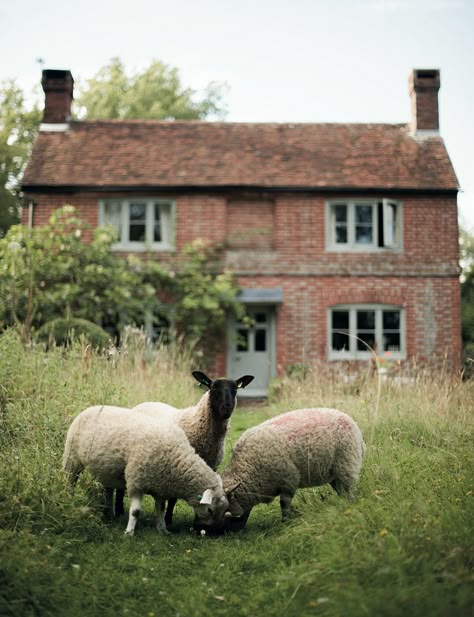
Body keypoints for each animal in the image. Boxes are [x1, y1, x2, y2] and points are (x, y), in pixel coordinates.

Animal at [62, 404, 229, 536]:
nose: (210, 532)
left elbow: (161, 509)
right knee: (70, 482)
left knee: (108, 491)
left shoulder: (161, 487)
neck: (175, 458)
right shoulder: (136, 482)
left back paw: (110, 514)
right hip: (72, 458)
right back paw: (68, 499)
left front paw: (163, 530)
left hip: (107, 470)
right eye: (210, 510)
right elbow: (136, 511)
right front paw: (129, 532)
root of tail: (91, 408)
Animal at [114, 370, 256, 524]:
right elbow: (173, 499)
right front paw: (168, 520)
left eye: (235, 389)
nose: (226, 408)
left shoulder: (211, 466)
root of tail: (141, 404)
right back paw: (118, 512)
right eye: (213, 388)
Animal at [196, 406, 366, 532]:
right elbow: (246, 512)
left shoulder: (288, 481)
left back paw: (349, 506)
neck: (248, 467)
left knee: (349, 491)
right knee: (342, 491)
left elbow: (284, 504)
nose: (198, 529)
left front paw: (285, 522)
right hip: (336, 474)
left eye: (215, 509)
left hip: (347, 465)